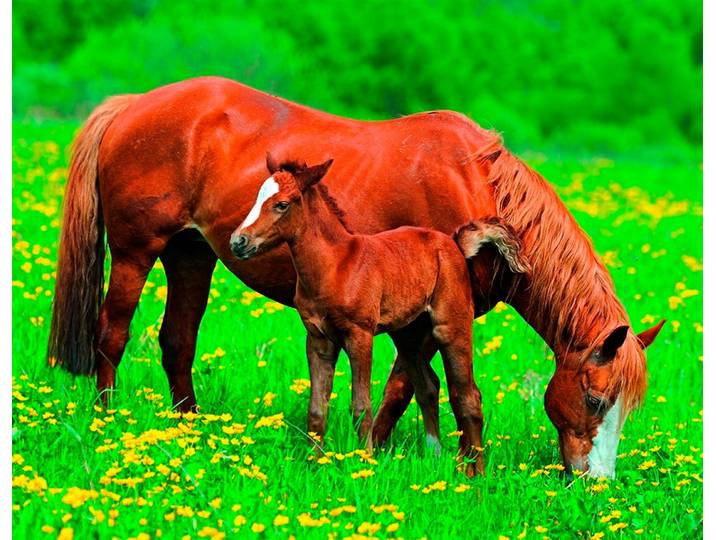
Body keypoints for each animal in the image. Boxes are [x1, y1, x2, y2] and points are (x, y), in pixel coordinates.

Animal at [229, 155, 529, 475]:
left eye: (282, 204)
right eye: (257, 197)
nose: (238, 242)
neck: (335, 266)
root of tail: (454, 244)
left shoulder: (359, 334)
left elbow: (361, 405)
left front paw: (365, 464)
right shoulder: (318, 339)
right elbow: (317, 408)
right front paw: (314, 463)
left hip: (451, 325)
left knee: (468, 394)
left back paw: (475, 473)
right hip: (409, 336)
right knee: (428, 386)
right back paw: (435, 456)